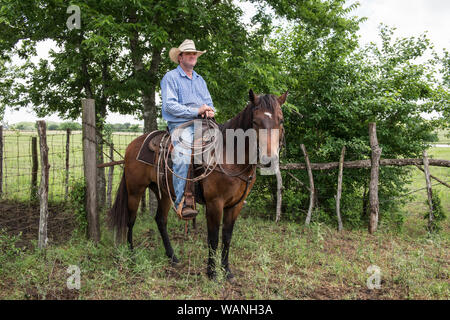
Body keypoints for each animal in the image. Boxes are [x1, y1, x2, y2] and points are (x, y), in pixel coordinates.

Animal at [107, 90, 286, 280]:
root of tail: (134, 144)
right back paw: (132, 254)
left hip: (165, 192)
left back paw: (172, 257)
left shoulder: (235, 205)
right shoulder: (215, 203)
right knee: (130, 220)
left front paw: (227, 270)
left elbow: (227, 237)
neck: (229, 157)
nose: (269, 160)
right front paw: (212, 272)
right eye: (255, 122)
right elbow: (213, 238)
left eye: (280, 120)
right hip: (135, 190)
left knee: (160, 220)